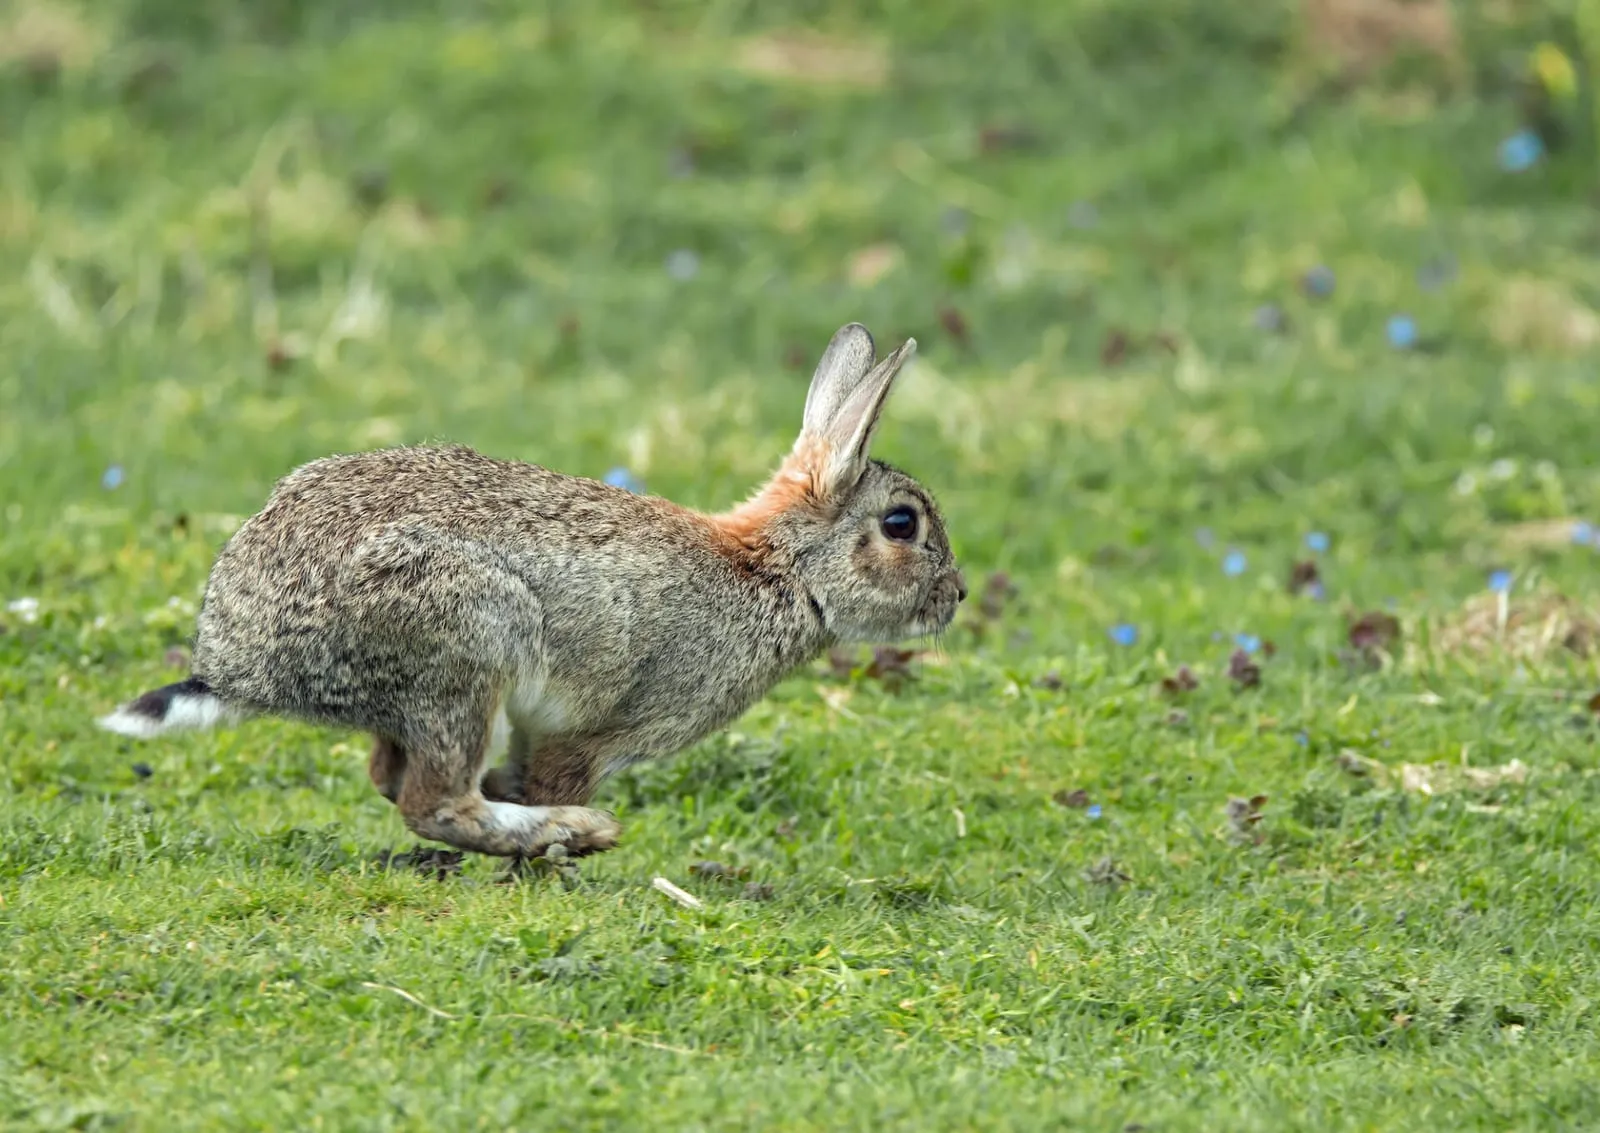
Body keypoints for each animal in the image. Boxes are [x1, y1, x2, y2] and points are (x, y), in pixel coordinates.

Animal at [97, 322, 966, 859]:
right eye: (902, 523)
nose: (955, 594)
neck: (780, 571)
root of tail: (240, 664)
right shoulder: (596, 733)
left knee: (395, 777)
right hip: (467, 642)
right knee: (434, 802)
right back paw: (574, 831)